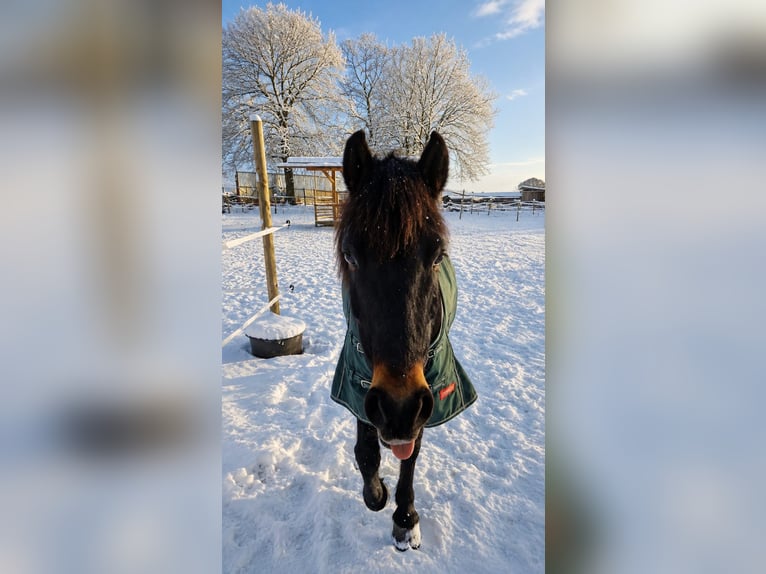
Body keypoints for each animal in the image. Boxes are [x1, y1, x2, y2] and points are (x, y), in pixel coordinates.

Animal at [330, 130, 477, 550]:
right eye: (350, 255)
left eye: (437, 255)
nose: (398, 406)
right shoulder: (357, 382)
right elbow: (366, 452)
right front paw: (376, 493)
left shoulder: (427, 394)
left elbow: (409, 456)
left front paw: (405, 519)